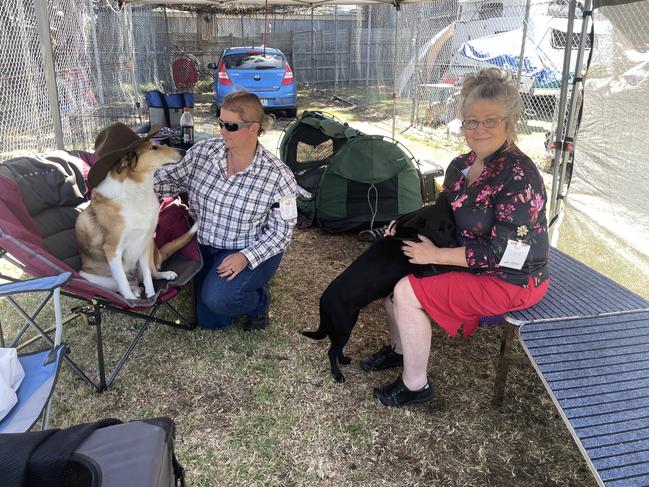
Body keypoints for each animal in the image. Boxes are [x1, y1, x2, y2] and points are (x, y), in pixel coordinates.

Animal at [75, 124, 194, 300]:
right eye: (153, 148)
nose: (183, 152)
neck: (138, 190)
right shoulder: (113, 250)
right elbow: (123, 285)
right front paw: (133, 301)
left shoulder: (144, 241)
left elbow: (148, 277)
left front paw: (152, 296)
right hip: (90, 276)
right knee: (125, 283)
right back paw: (135, 290)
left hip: (151, 245)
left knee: (152, 272)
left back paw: (163, 275)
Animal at [302, 196, 464, 384]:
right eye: (438, 229)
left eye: (452, 227)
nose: (453, 245)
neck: (408, 234)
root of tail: (324, 299)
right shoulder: (423, 270)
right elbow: (450, 265)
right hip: (343, 327)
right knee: (331, 351)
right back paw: (337, 374)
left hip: (348, 323)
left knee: (337, 348)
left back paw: (343, 360)